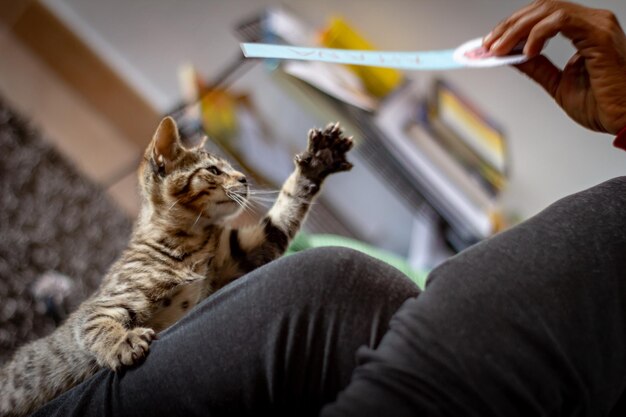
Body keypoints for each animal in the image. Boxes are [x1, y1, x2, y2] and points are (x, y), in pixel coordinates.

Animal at [0, 115, 352, 414]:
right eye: (214, 171)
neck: (192, 241)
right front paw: (123, 342)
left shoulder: (245, 253)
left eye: (233, 170)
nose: (245, 179)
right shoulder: (106, 304)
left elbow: (285, 211)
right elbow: (98, 324)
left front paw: (318, 162)